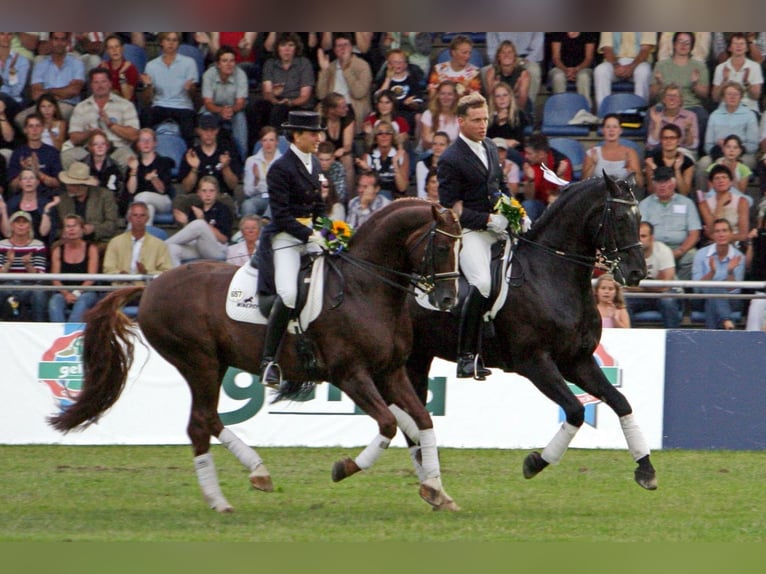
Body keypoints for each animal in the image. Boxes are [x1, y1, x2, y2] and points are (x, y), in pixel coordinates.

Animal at [49, 199, 463, 512]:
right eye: (443, 247)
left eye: (461, 248)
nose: (448, 301)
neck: (365, 288)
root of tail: (150, 287)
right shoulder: (351, 375)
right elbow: (389, 425)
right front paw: (344, 467)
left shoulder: (391, 372)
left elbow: (422, 421)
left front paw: (436, 490)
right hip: (199, 361)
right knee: (202, 422)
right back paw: (237, 488)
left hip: (212, 364)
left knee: (205, 421)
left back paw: (240, 485)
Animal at [400, 173, 659, 490]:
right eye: (620, 218)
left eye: (640, 218)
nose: (637, 273)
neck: (550, 273)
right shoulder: (534, 362)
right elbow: (575, 410)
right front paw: (535, 462)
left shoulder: (577, 361)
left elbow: (621, 402)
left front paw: (645, 468)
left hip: (420, 356)